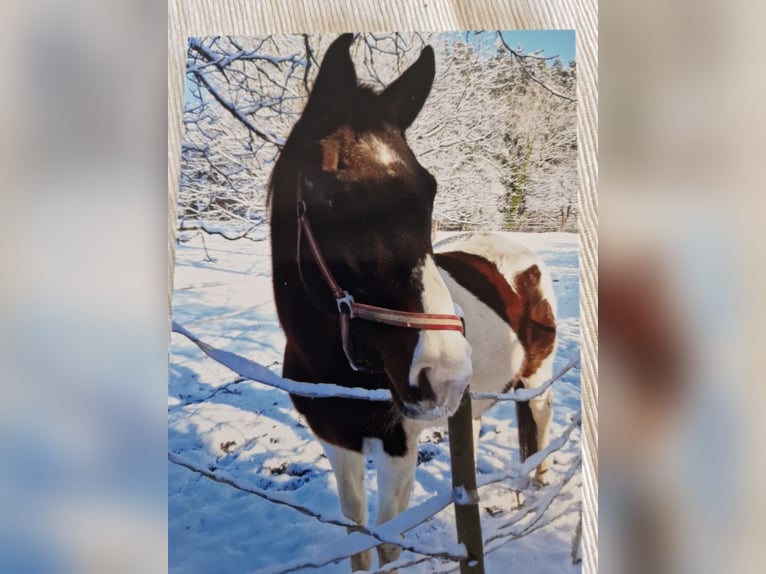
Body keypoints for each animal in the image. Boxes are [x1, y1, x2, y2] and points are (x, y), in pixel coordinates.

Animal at [270, 33, 560, 572]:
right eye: (334, 199)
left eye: (430, 192)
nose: (442, 374)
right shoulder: (336, 440)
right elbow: (356, 535)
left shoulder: (397, 446)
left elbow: (387, 542)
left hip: (537, 380)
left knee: (540, 429)